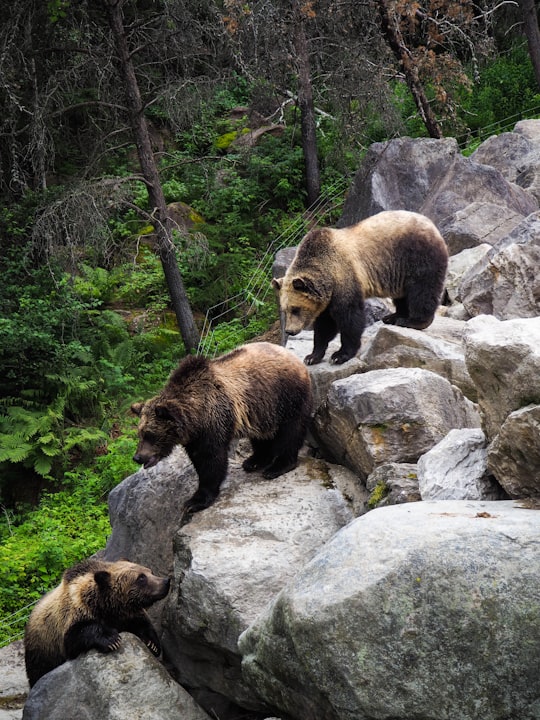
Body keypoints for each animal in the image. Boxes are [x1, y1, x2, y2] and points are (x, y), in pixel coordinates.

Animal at [23, 556, 169, 688]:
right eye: (141, 578)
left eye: (150, 571)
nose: (166, 581)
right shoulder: (71, 618)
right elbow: (77, 634)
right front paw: (112, 639)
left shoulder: (127, 615)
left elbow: (143, 623)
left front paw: (152, 644)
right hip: (42, 650)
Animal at [130, 342, 312, 512]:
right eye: (140, 434)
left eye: (150, 434)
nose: (138, 457)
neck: (195, 416)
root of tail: (293, 357)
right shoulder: (195, 437)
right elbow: (199, 459)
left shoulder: (213, 422)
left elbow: (212, 461)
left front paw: (195, 501)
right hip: (261, 409)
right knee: (262, 435)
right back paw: (254, 461)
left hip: (286, 396)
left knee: (291, 431)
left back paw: (278, 466)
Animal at [272, 208, 450, 366]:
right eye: (285, 309)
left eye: (295, 309)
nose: (289, 331)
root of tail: (431, 225)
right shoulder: (327, 296)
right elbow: (324, 325)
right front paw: (312, 356)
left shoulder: (344, 276)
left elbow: (349, 316)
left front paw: (340, 355)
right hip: (399, 271)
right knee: (403, 295)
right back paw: (393, 317)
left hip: (417, 255)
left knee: (422, 290)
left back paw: (413, 321)